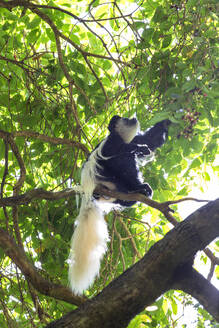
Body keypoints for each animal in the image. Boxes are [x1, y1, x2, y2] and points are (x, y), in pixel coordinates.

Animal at [67, 115, 170, 294]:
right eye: (125, 119)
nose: (133, 118)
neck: (123, 138)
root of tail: (89, 186)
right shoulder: (112, 142)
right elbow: (118, 153)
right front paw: (139, 149)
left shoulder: (134, 138)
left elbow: (150, 140)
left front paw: (165, 123)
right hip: (106, 177)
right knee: (124, 160)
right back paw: (140, 187)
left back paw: (133, 194)